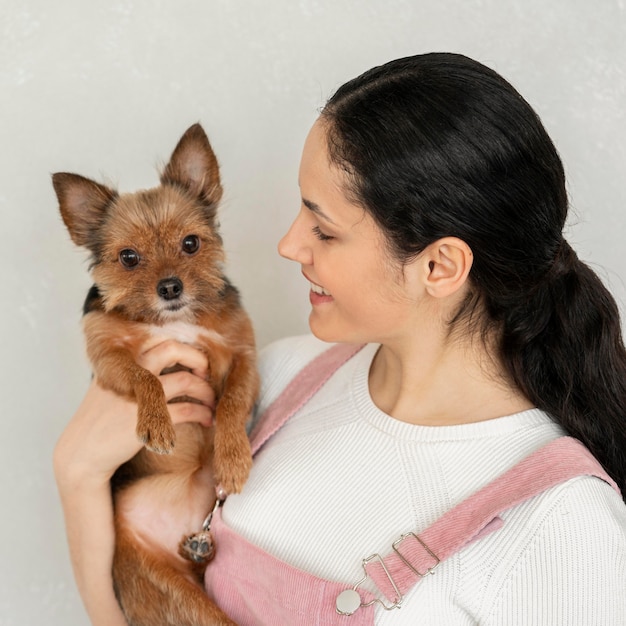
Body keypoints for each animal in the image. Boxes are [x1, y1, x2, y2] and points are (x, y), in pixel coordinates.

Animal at [53, 123, 258, 624]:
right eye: (128, 258)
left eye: (191, 243)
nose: (170, 287)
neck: (170, 320)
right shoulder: (106, 355)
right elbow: (145, 377)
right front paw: (157, 423)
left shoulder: (241, 352)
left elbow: (232, 400)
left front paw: (233, 457)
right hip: (171, 589)